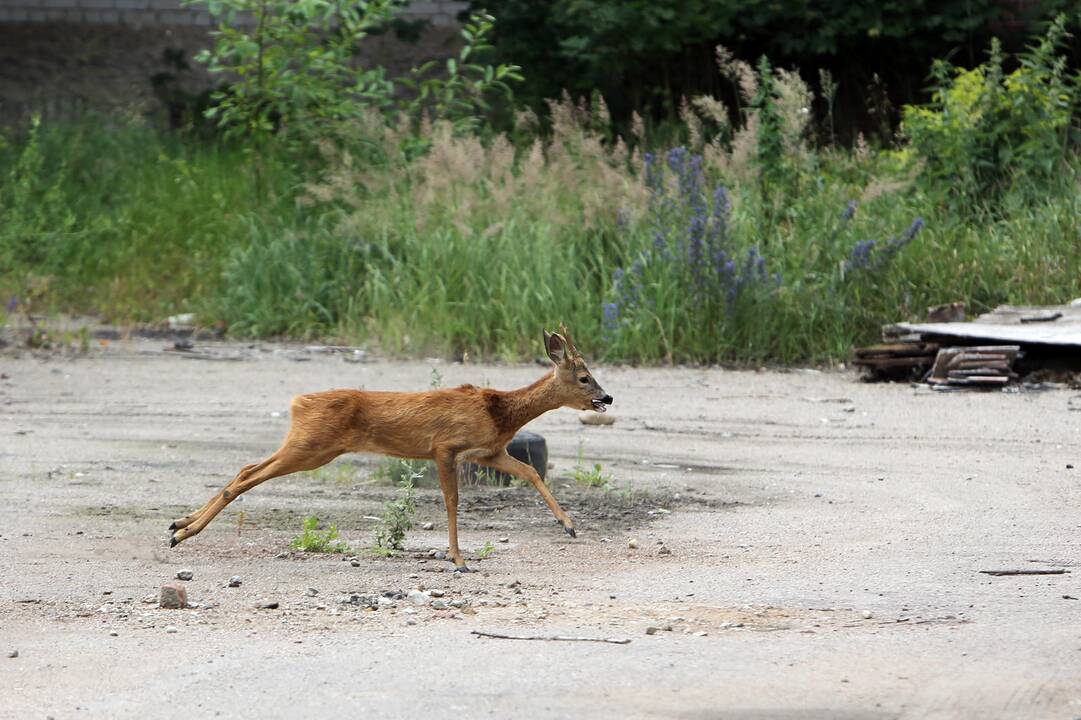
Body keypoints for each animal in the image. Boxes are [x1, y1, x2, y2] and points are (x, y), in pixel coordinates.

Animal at [166, 326, 609, 570]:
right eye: (584, 378)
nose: (607, 398)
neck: (500, 412)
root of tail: (297, 402)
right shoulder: (446, 447)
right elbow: (452, 501)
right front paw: (459, 561)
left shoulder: (489, 452)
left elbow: (531, 472)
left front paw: (568, 525)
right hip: (311, 448)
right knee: (248, 477)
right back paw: (182, 533)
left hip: (307, 444)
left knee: (245, 468)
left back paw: (178, 524)